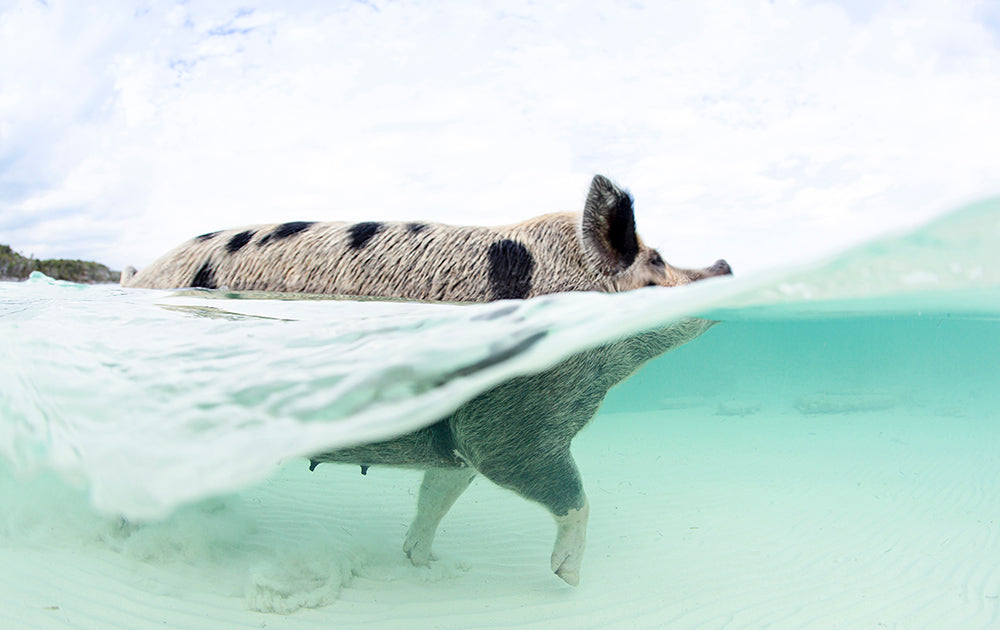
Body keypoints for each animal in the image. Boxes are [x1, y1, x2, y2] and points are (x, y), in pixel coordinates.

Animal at [121, 174, 732, 588]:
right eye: (657, 259)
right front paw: (568, 579)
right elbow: (572, 498)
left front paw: (423, 562)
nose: (725, 264)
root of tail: (139, 276)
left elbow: (435, 499)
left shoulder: (455, 443)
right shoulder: (514, 422)